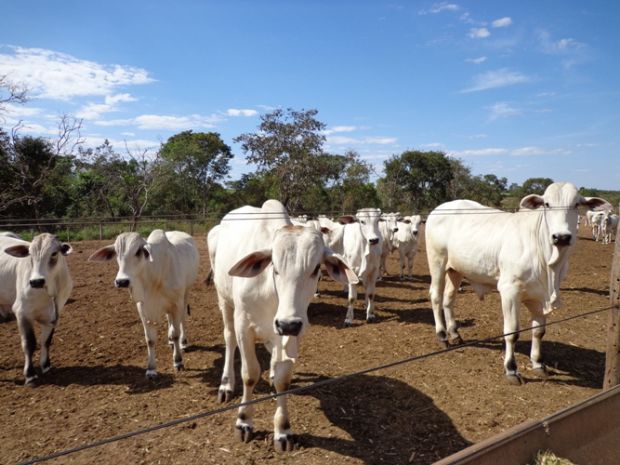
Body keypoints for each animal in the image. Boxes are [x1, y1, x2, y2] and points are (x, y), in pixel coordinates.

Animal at [1, 234, 73, 382]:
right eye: (30, 254)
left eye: (54, 253)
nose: (36, 281)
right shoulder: (22, 313)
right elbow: (29, 343)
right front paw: (30, 374)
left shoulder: (53, 316)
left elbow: (46, 341)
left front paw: (46, 365)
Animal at [87, 228, 197, 376]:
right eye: (116, 253)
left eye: (138, 252)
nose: (122, 281)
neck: (155, 275)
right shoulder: (143, 308)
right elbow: (150, 339)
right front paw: (151, 369)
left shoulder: (176, 304)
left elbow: (176, 333)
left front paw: (178, 361)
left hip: (185, 294)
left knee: (182, 320)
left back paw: (183, 342)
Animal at [208, 198, 356, 450]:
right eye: (274, 267)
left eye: (316, 269)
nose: (287, 324)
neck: (272, 295)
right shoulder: (244, 326)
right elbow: (250, 373)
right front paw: (244, 421)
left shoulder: (292, 332)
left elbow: (283, 380)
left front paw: (283, 430)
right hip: (224, 300)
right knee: (229, 339)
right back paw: (226, 384)